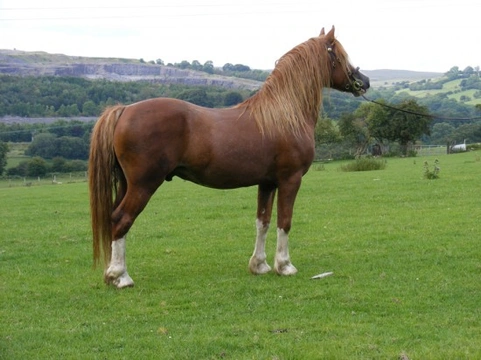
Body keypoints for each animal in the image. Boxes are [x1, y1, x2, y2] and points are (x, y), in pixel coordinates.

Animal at [88, 26, 370, 288]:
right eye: (341, 56)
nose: (364, 81)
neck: (284, 114)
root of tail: (124, 110)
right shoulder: (290, 180)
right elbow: (284, 221)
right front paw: (284, 266)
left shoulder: (267, 183)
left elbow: (263, 222)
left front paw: (259, 265)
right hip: (143, 185)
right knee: (121, 219)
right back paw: (121, 277)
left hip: (126, 184)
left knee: (113, 219)